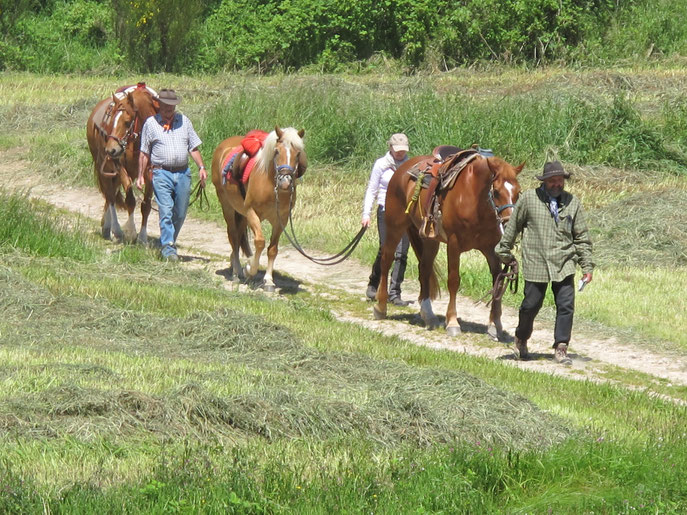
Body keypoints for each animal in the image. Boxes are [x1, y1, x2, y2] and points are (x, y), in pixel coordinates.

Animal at [86, 84, 159, 244]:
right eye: (112, 120)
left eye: (127, 122)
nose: (111, 149)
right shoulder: (120, 168)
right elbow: (130, 200)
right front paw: (131, 232)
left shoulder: (150, 173)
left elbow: (146, 205)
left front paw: (142, 238)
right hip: (105, 168)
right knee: (110, 196)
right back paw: (115, 229)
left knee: (112, 193)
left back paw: (106, 226)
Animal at [210, 127, 306, 292]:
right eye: (277, 151)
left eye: (298, 153)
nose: (285, 182)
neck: (270, 186)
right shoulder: (251, 212)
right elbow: (260, 242)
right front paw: (249, 269)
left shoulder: (281, 219)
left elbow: (272, 249)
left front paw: (268, 280)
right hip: (228, 207)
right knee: (233, 236)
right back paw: (236, 271)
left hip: (241, 214)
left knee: (239, 236)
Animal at [374, 151, 524, 340]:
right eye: (496, 192)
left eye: (518, 192)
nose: (509, 223)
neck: (475, 199)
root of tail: (401, 169)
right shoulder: (454, 244)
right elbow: (453, 281)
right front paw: (452, 322)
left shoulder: (491, 248)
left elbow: (497, 281)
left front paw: (494, 325)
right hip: (395, 226)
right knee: (386, 260)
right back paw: (380, 306)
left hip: (430, 240)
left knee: (424, 268)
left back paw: (429, 316)